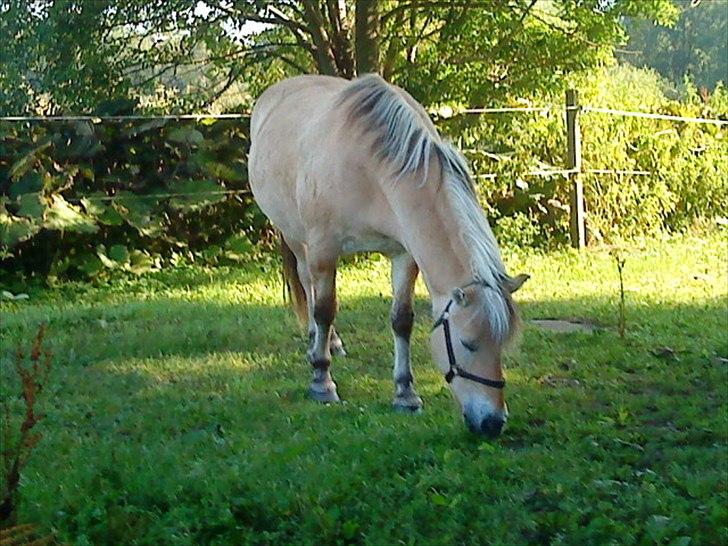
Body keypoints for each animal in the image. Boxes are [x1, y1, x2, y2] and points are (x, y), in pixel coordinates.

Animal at [247, 73, 528, 438]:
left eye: (503, 345)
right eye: (467, 343)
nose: (493, 423)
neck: (369, 169)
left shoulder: (404, 254)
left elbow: (401, 320)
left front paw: (405, 393)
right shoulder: (324, 249)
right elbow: (324, 310)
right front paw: (322, 381)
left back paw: (332, 343)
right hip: (295, 236)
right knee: (308, 285)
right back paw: (316, 343)